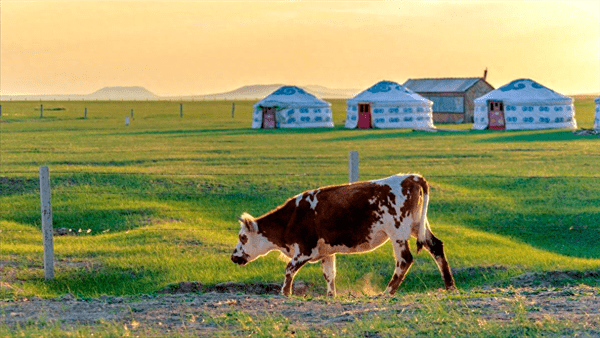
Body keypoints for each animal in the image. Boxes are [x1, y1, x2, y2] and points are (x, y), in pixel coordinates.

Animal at [230, 174, 454, 296]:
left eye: (243, 237)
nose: (233, 256)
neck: (292, 217)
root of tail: (411, 177)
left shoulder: (304, 250)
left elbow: (289, 270)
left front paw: (285, 293)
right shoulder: (326, 252)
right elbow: (329, 275)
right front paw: (331, 296)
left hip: (398, 233)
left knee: (404, 260)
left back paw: (386, 292)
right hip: (417, 226)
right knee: (435, 246)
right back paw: (450, 287)